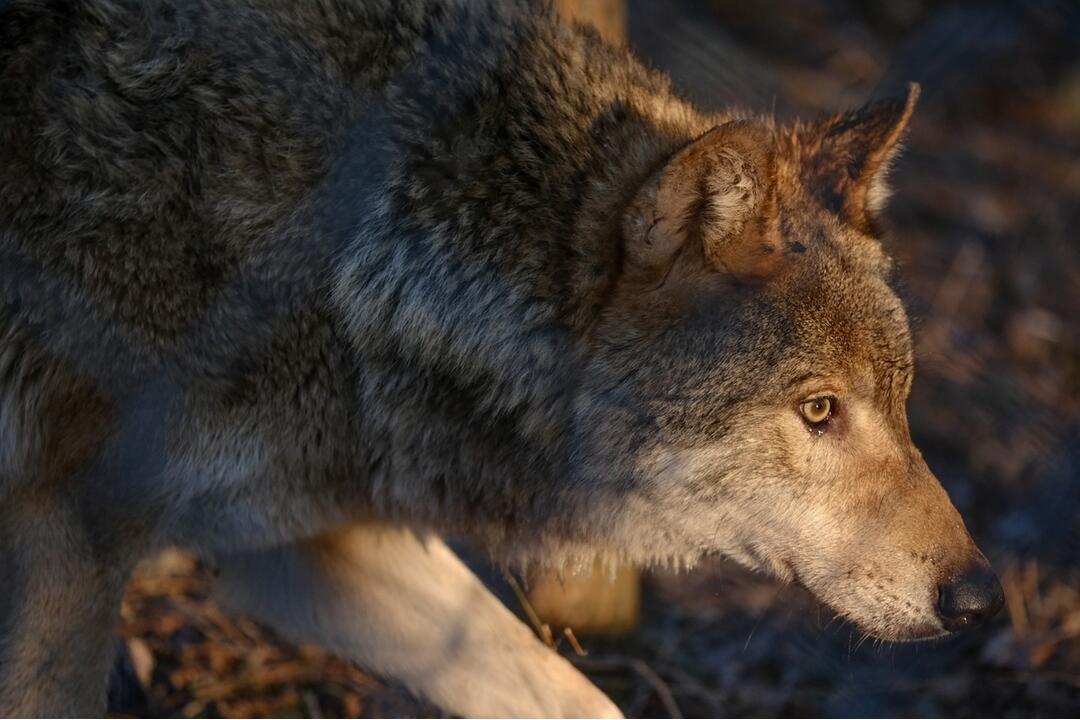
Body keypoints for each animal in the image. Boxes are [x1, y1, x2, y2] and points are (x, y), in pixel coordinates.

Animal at [0, 0, 1002, 716]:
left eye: (901, 400)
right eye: (819, 409)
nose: (982, 600)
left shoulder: (291, 542)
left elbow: (574, 700)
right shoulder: (67, 541)